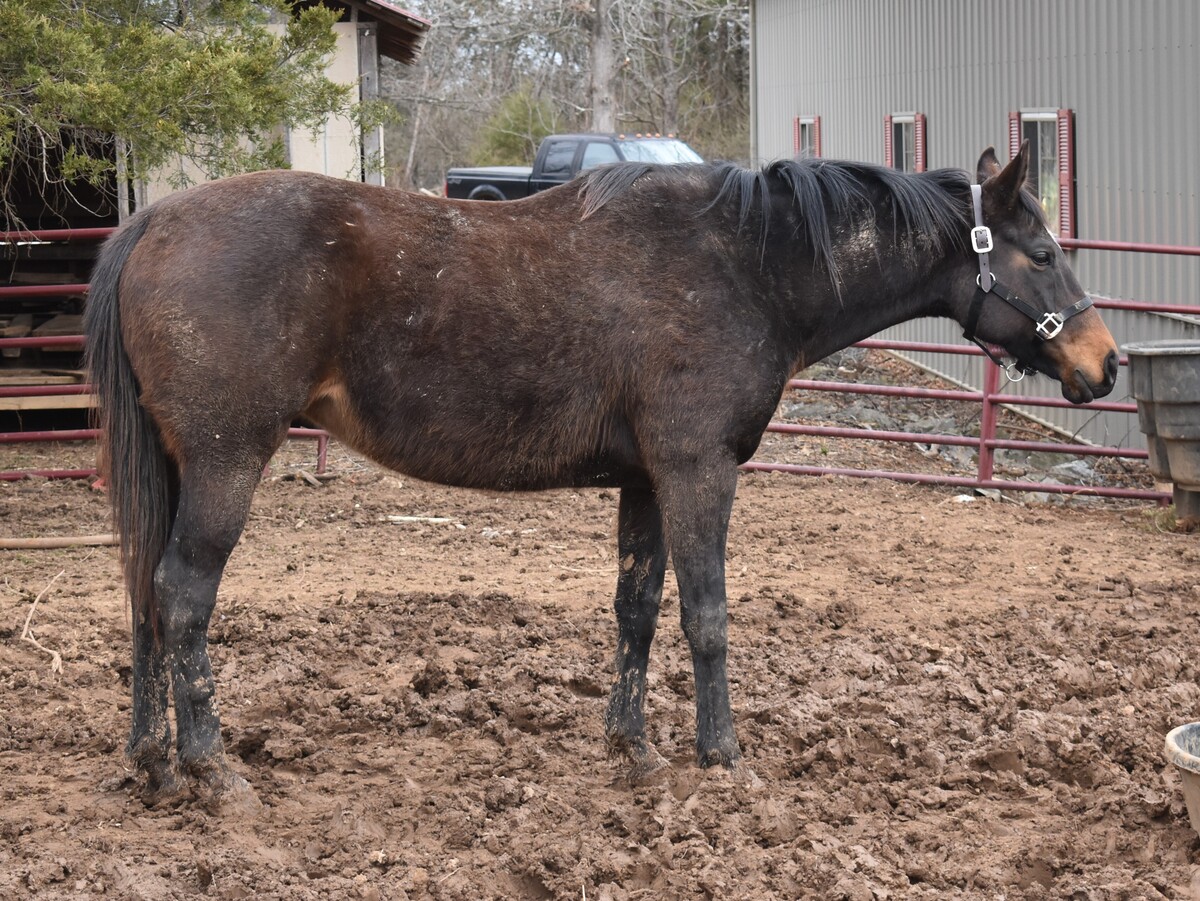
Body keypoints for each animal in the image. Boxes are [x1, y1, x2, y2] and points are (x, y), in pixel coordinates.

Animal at [84, 142, 1118, 805]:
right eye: (1043, 252)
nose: (1105, 365)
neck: (747, 265)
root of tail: (152, 222)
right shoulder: (699, 469)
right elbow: (706, 615)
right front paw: (720, 756)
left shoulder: (646, 479)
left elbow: (638, 609)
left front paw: (635, 752)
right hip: (225, 462)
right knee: (182, 598)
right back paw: (214, 773)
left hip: (175, 469)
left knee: (143, 598)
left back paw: (153, 765)